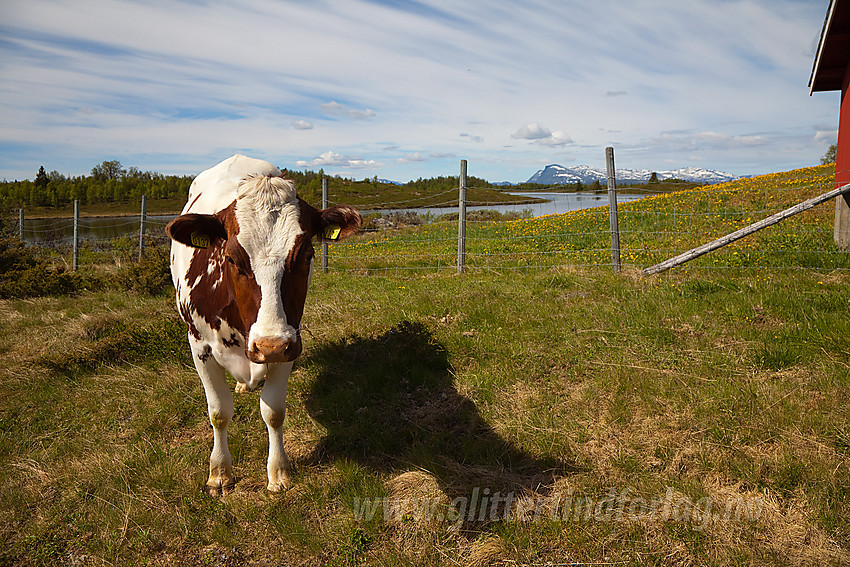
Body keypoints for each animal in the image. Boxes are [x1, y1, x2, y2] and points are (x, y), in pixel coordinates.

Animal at [166, 153, 362, 494]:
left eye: (306, 255)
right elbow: (219, 412)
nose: (268, 344)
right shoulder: (198, 345)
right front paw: (220, 472)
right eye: (232, 258)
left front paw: (278, 471)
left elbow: (274, 411)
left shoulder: (290, 343)